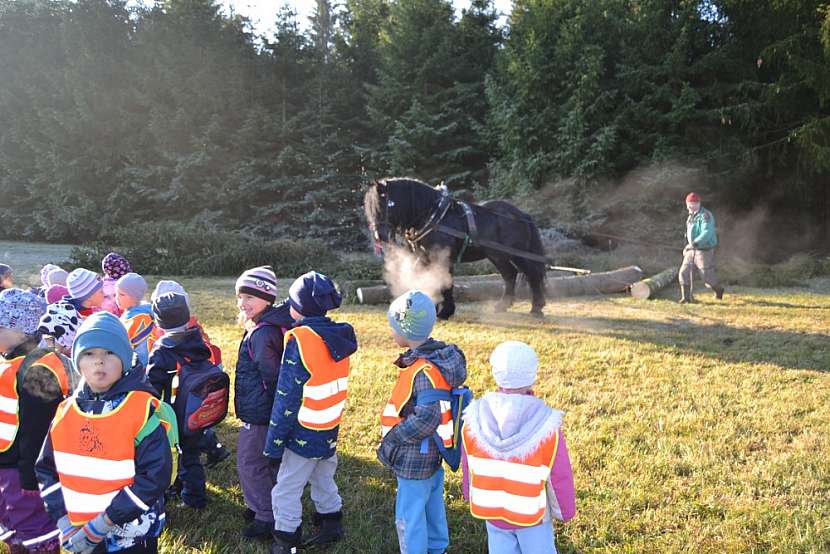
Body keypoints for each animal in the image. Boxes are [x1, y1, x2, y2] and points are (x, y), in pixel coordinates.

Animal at [366, 175, 552, 316]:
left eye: (383, 206)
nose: (379, 236)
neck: (433, 216)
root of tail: (521, 214)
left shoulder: (443, 256)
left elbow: (445, 281)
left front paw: (445, 311)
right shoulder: (423, 256)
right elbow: (425, 278)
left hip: (516, 254)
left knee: (531, 274)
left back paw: (536, 308)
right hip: (498, 255)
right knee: (510, 275)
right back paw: (503, 305)